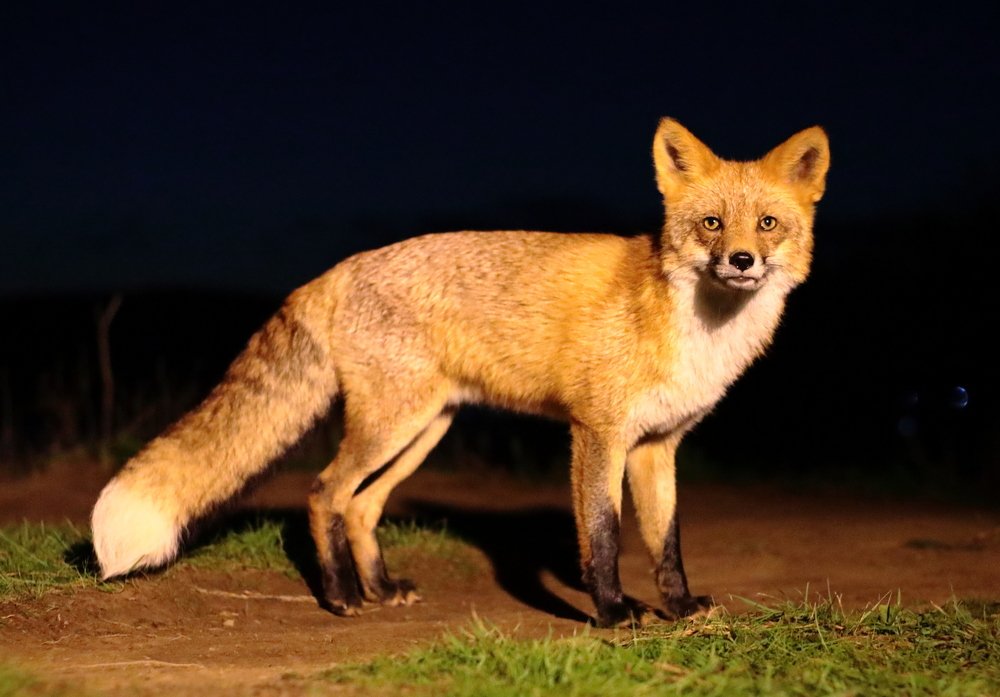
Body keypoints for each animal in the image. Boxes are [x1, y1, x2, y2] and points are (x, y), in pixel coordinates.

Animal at [91, 118, 829, 627]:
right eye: (712, 224)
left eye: (768, 223)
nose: (742, 261)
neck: (696, 329)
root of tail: (332, 271)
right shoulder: (597, 433)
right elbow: (602, 535)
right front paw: (613, 613)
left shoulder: (658, 445)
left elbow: (666, 540)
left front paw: (678, 607)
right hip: (392, 427)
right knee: (325, 493)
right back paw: (341, 598)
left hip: (425, 429)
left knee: (361, 505)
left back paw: (381, 589)